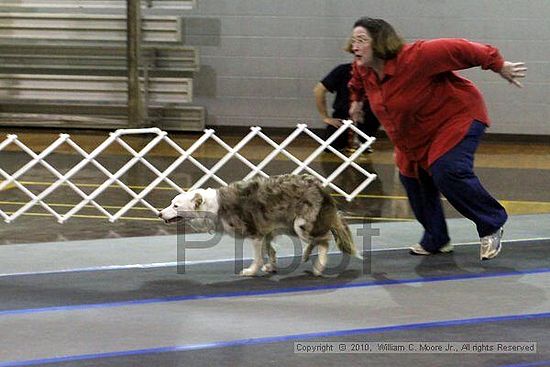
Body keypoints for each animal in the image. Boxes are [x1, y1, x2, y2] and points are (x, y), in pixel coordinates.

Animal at [160, 175, 358, 276]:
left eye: (175, 206)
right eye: (171, 203)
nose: (159, 213)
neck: (212, 206)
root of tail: (320, 187)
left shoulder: (254, 232)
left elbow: (258, 256)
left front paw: (251, 270)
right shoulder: (267, 231)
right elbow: (270, 250)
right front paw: (271, 267)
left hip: (300, 224)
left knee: (324, 240)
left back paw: (319, 266)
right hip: (292, 224)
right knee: (318, 240)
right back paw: (308, 255)